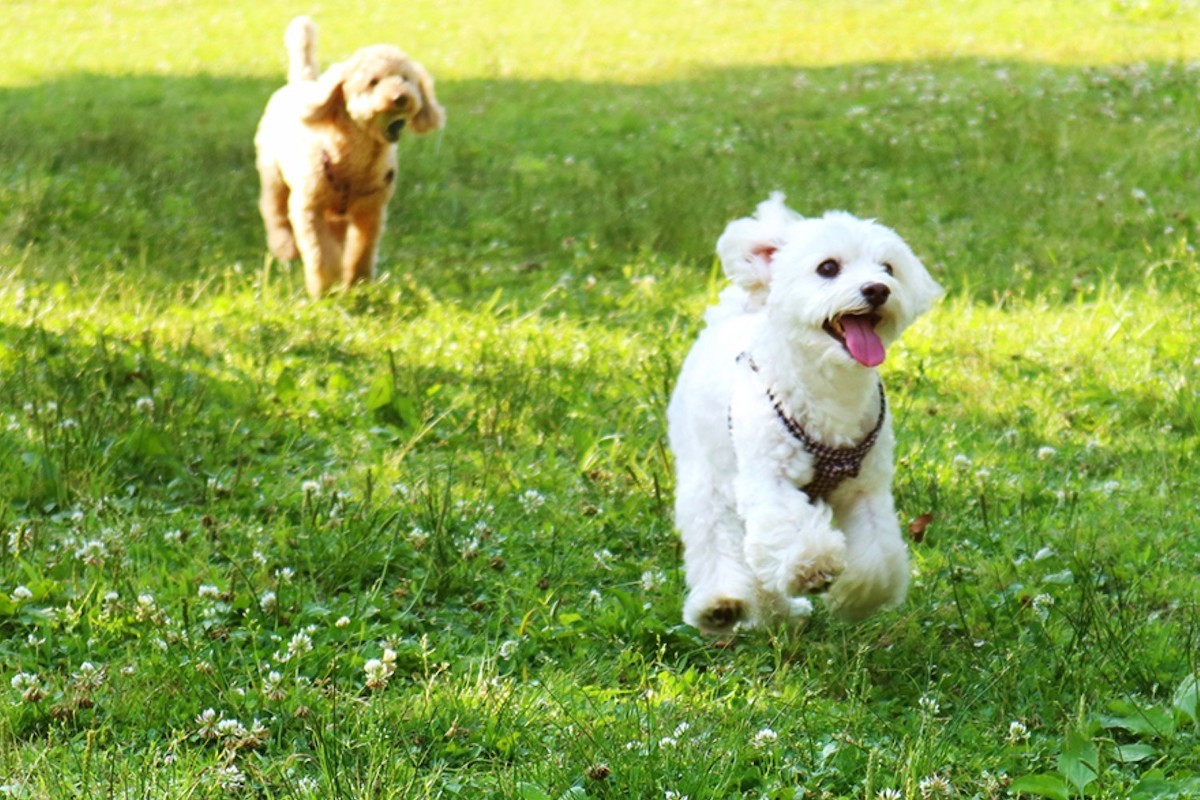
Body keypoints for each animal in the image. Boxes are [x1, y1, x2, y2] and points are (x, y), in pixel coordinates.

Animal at [254, 17, 446, 298]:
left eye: (405, 79)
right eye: (373, 82)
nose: (401, 97)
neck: (356, 162)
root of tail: (301, 82)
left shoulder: (370, 212)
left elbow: (361, 251)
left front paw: (358, 284)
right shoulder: (309, 208)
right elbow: (321, 253)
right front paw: (326, 288)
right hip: (273, 172)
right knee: (274, 208)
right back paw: (285, 247)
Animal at [667, 190, 936, 633]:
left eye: (888, 268)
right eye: (828, 267)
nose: (878, 289)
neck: (830, 391)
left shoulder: (866, 488)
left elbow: (878, 555)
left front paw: (855, 596)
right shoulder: (769, 478)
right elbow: (786, 526)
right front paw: (814, 565)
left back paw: (777, 613)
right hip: (704, 468)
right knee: (713, 533)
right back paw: (721, 603)